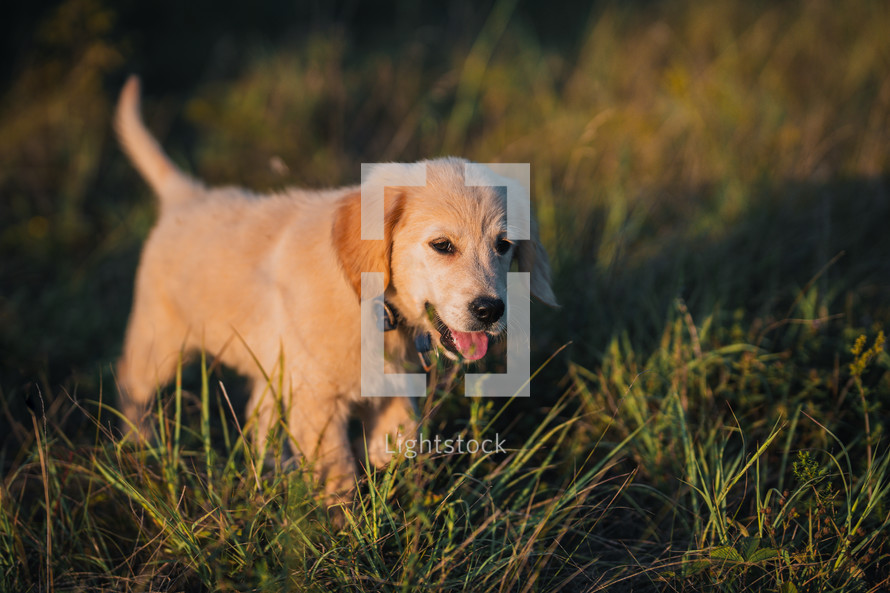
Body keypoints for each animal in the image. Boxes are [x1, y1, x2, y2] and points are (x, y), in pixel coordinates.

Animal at [112, 74, 556, 500]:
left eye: (504, 246)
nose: (490, 310)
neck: (373, 306)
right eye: (442, 245)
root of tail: (187, 197)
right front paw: (346, 521)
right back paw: (140, 447)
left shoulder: (388, 389)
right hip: (158, 342)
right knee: (131, 388)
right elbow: (338, 477)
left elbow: (400, 447)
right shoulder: (316, 400)